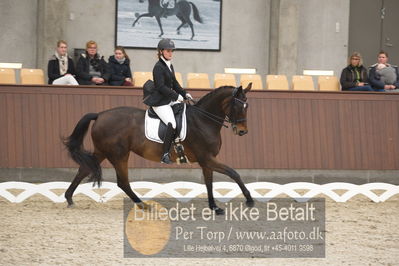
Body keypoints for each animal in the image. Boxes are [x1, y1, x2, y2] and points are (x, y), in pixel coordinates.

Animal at [64, 84, 255, 215]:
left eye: (247, 106)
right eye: (238, 106)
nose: (243, 131)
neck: (203, 120)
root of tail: (100, 115)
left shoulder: (206, 161)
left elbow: (209, 183)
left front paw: (215, 207)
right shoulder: (207, 158)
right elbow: (234, 173)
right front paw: (249, 199)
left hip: (103, 152)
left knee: (84, 169)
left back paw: (69, 199)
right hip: (119, 155)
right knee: (122, 182)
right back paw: (144, 205)